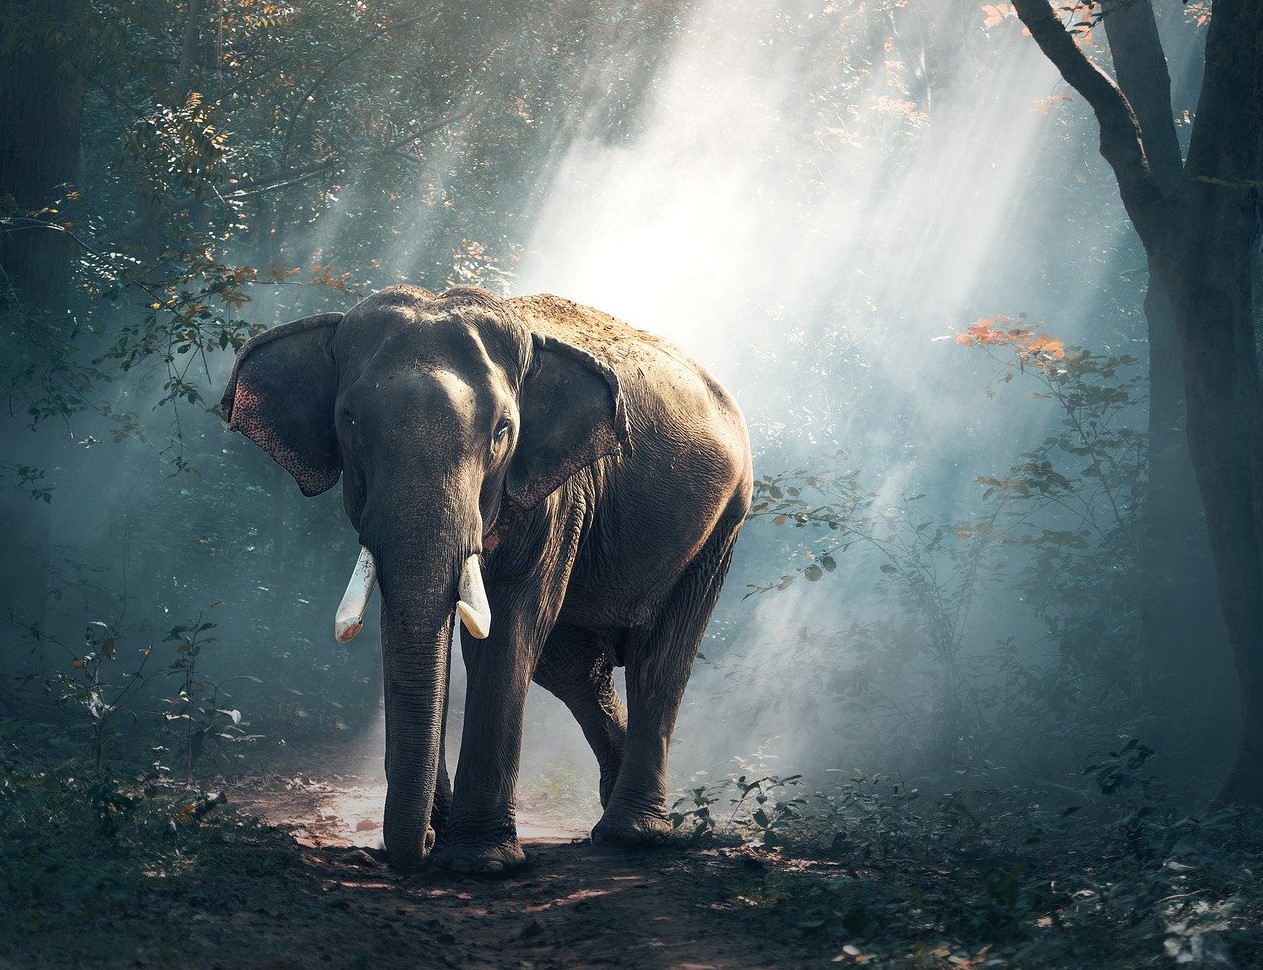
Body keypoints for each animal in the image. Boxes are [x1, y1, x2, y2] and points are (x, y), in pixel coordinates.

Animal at [220, 284, 752, 872]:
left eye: (503, 431)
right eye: (349, 422)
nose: (420, 846)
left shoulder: (556, 495)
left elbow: (506, 632)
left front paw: (479, 862)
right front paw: (444, 835)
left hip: (723, 523)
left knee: (659, 659)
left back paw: (632, 835)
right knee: (572, 667)